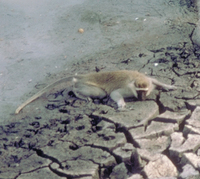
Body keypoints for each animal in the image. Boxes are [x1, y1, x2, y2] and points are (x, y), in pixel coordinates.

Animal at [14, 70, 176, 114]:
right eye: (139, 91)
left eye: (144, 91)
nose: (142, 98)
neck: (136, 79)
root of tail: (84, 76)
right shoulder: (127, 88)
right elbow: (114, 94)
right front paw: (122, 104)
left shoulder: (148, 81)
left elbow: (155, 81)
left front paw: (168, 86)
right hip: (86, 85)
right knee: (100, 94)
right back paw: (78, 94)